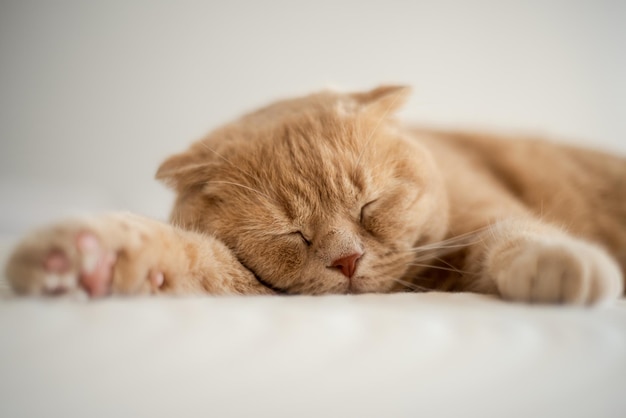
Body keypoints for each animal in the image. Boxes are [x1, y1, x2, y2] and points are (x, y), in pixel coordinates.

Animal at [4, 86, 624, 306]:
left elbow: (517, 235)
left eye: (370, 206)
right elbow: (184, 254)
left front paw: (560, 264)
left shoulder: (484, 221)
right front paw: (83, 258)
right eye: (290, 233)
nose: (347, 260)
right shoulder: (247, 280)